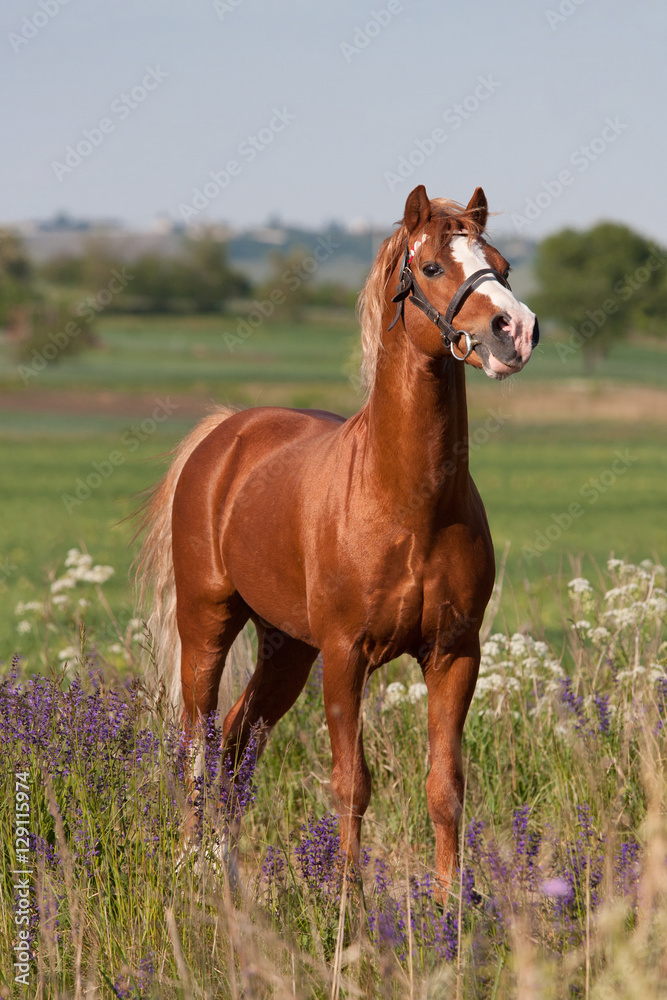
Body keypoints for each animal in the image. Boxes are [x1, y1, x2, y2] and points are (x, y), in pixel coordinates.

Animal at [137, 183, 538, 895]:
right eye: (431, 266)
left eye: (504, 265)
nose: (513, 330)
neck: (406, 503)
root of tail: (224, 433)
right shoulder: (346, 656)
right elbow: (351, 784)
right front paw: (347, 903)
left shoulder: (454, 654)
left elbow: (445, 786)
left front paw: (450, 904)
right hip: (207, 623)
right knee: (198, 746)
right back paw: (190, 867)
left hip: (287, 647)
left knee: (237, 745)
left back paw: (225, 872)